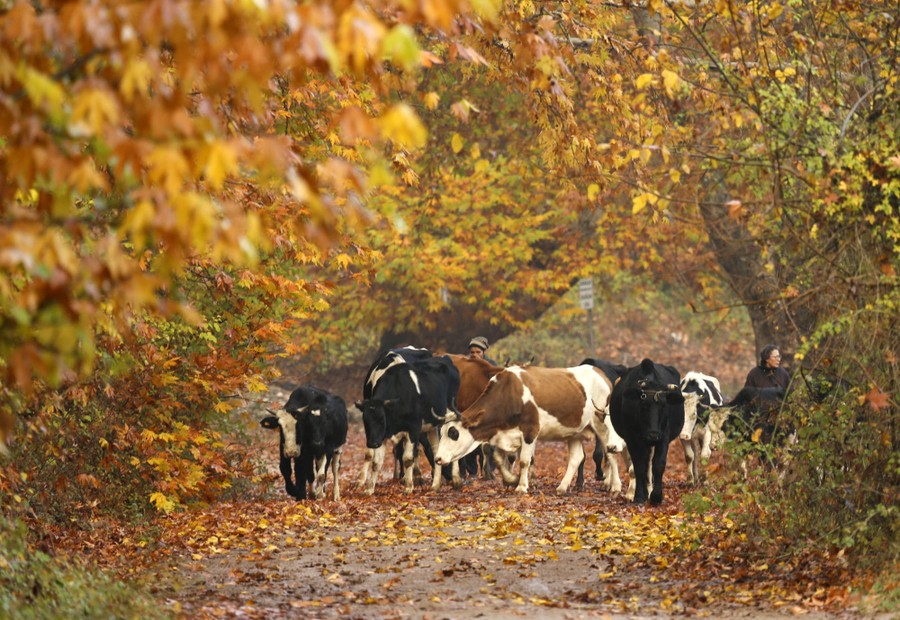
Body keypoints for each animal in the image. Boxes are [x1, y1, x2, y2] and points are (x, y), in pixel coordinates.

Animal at [357, 353, 461, 494]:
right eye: (365, 421)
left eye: (382, 419)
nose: (372, 443)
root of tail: (444, 358)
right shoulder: (382, 435)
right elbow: (376, 462)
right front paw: (369, 489)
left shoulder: (413, 429)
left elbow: (407, 459)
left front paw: (408, 486)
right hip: (433, 424)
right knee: (435, 448)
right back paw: (435, 484)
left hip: (451, 413)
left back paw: (456, 480)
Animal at [433, 364, 613, 495]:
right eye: (442, 432)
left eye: (453, 433)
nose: (437, 458)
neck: (510, 394)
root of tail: (601, 374)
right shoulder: (504, 434)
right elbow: (499, 458)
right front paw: (510, 480)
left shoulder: (530, 430)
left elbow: (524, 461)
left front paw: (521, 486)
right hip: (575, 432)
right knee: (577, 458)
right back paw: (562, 487)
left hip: (602, 425)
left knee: (609, 452)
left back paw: (611, 485)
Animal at [610, 358, 685, 505]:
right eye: (644, 405)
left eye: (664, 405)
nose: (653, 434)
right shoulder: (632, 438)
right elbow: (639, 466)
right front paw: (639, 496)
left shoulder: (664, 437)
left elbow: (658, 464)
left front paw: (656, 496)